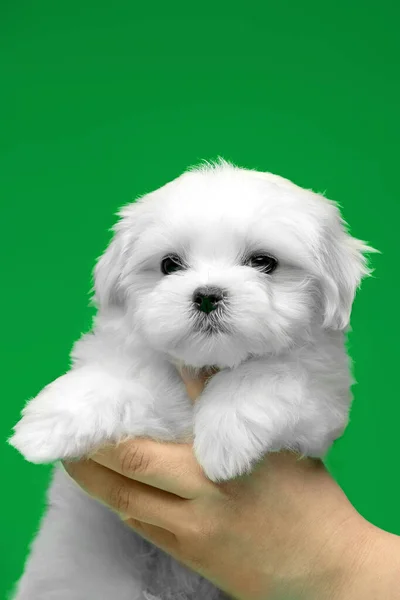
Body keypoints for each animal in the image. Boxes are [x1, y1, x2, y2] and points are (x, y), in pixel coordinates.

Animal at [9, 159, 372, 600]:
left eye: (264, 262)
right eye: (169, 265)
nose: (207, 295)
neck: (208, 364)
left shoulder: (321, 394)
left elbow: (272, 372)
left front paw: (224, 438)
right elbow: (116, 381)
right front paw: (47, 424)